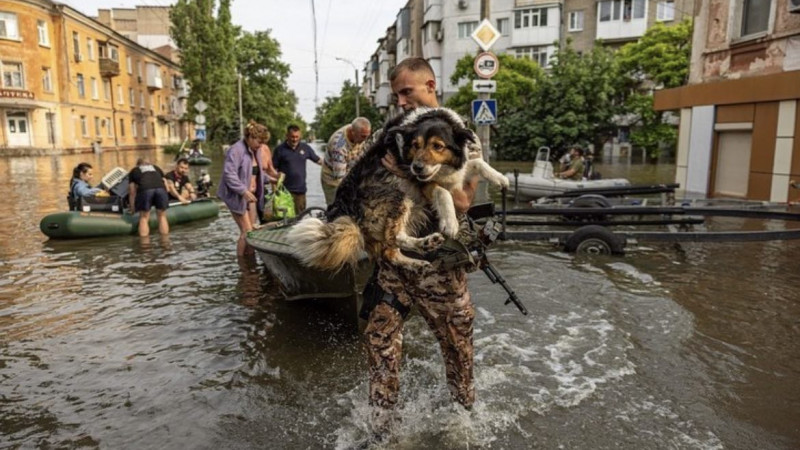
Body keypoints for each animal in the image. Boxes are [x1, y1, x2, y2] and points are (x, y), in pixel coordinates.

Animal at [290, 107, 510, 272]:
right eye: (415, 145)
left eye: (438, 146)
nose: (417, 167)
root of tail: (347, 214)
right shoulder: (420, 181)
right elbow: (443, 192)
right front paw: (450, 222)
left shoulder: (453, 172)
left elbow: (477, 162)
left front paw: (500, 178)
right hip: (399, 196)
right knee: (394, 239)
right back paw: (424, 246)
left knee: (389, 252)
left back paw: (420, 255)